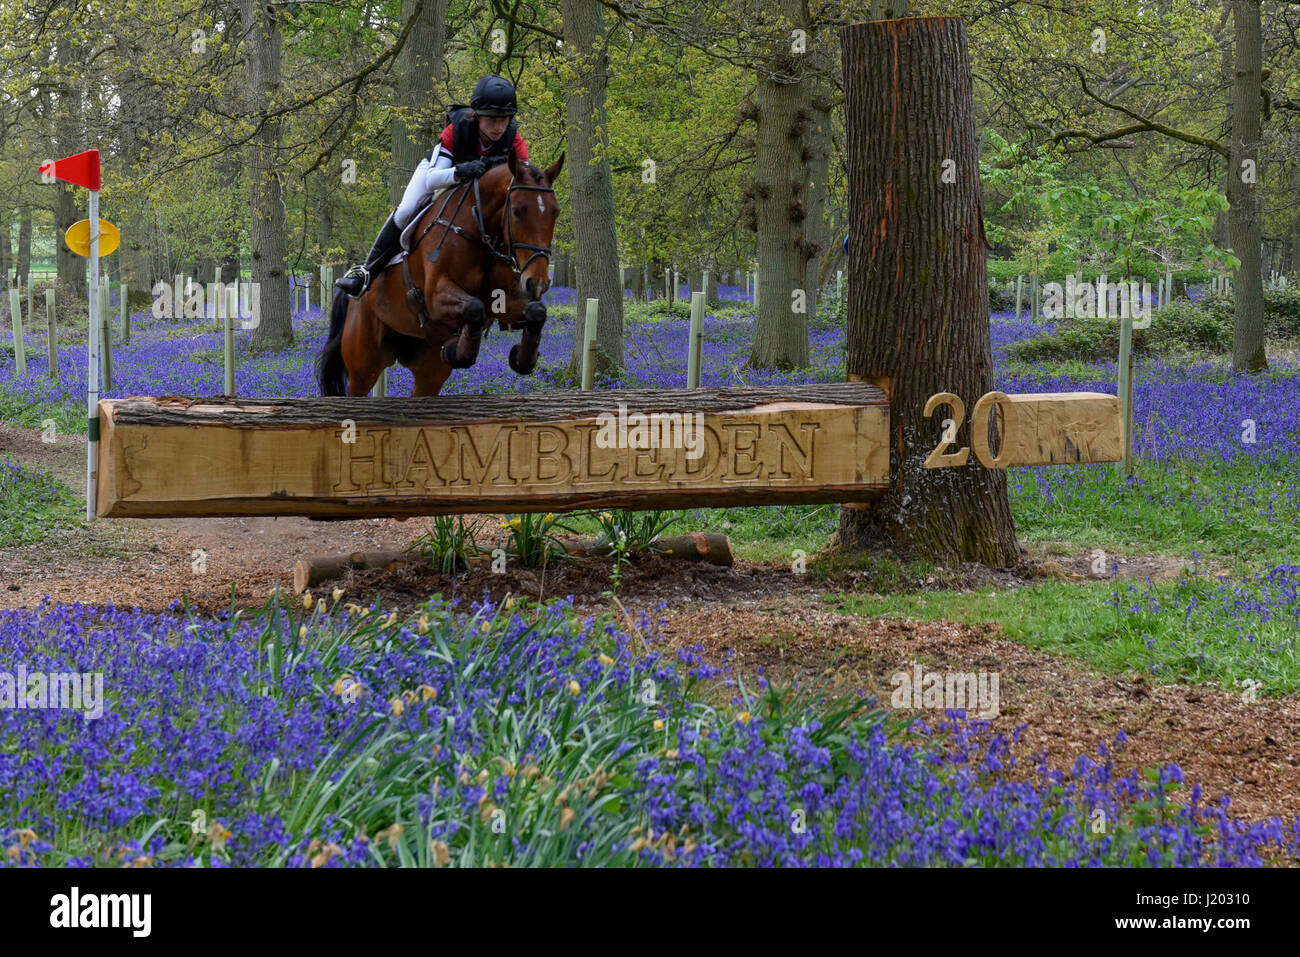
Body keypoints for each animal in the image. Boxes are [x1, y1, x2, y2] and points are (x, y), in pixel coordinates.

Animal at [317, 151, 566, 397]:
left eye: (555, 212)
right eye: (516, 211)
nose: (538, 282)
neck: (482, 230)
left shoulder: (502, 299)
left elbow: (537, 311)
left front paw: (523, 358)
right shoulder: (436, 295)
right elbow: (474, 307)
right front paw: (461, 352)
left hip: (428, 368)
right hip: (363, 364)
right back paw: (357, 279)